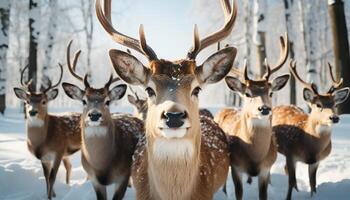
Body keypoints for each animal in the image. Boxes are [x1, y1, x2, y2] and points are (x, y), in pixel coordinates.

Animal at [13, 63, 81, 199]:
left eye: (43, 101)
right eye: (27, 101)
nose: (32, 112)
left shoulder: (58, 151)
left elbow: (52, 177)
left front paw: (50, 196)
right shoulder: (44, 158)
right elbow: (46, 177)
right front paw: (52, 194)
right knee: (69, 166)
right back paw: (68, 186)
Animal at [61, 40, 145, 200]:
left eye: (107, 101)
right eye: (84, 100)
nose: (94, 115)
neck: (103, 167)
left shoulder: (123, 176)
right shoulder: (95, 180)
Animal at [215, 34, 292, 200]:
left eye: (271, 92)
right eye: (247, 93)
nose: (264, 108)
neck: (255, 157)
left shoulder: (266, 169)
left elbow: (263, 194)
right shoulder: (236, 166)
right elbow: (239, 193)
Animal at [272, 61, 348, 200]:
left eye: (334, 104)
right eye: (318, 105)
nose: (334, 117)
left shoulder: (315, 161)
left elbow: (313, 184)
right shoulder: (290, 154)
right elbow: (291, 182)